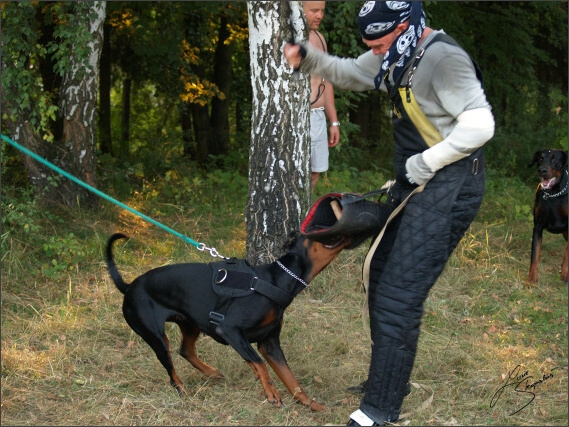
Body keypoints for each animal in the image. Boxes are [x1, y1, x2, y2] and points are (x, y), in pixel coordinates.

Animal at [104, 232, 348, 412]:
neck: (274, 282)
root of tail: (129, 287)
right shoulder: (229, 330)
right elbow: (259, 363)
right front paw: (271, 393)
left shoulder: (270, 344)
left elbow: (291, 380)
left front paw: (311, 404)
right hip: (156, 336)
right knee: (172, 370)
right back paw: (183, 391)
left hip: (191, 324)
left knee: (186, 350)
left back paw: (211, 372)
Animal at [524, 150, 564, 284]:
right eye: (540, 159)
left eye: (555, 159)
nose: (542, 170)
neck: (553, 194)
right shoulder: (538, 227)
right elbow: (534, 256)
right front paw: (531, 279)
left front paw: (565, 276)